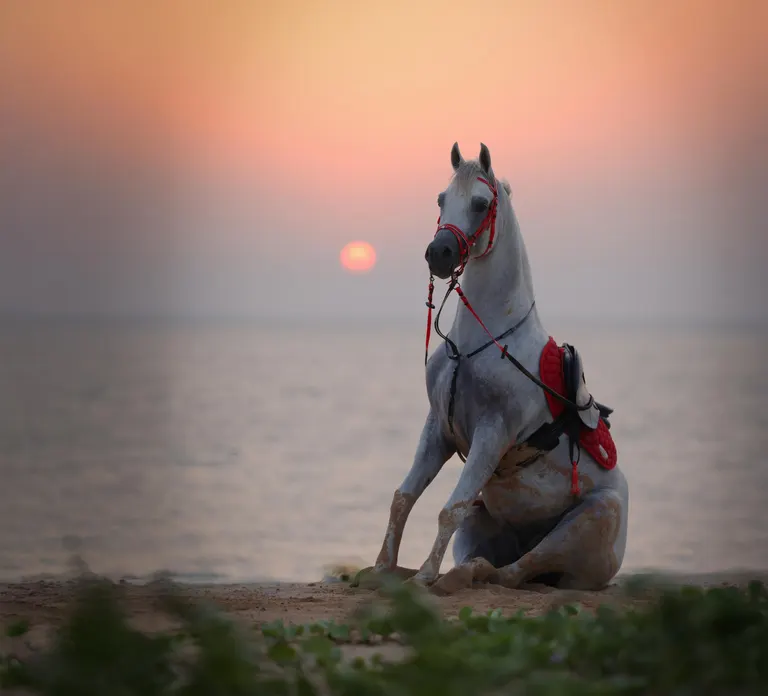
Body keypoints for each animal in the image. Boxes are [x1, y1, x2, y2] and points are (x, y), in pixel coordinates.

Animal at [354, 142, 629, 595]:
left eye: (481, 203)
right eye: (441, 199)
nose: (439, 253)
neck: (476, 343)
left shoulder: (492, 432)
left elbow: (450, 506)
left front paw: (425, 577)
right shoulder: (438, 429)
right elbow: (404, 497)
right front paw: (380, 569)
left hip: (590, 519)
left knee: (516, 570)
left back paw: (460, 576)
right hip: (482, 523)